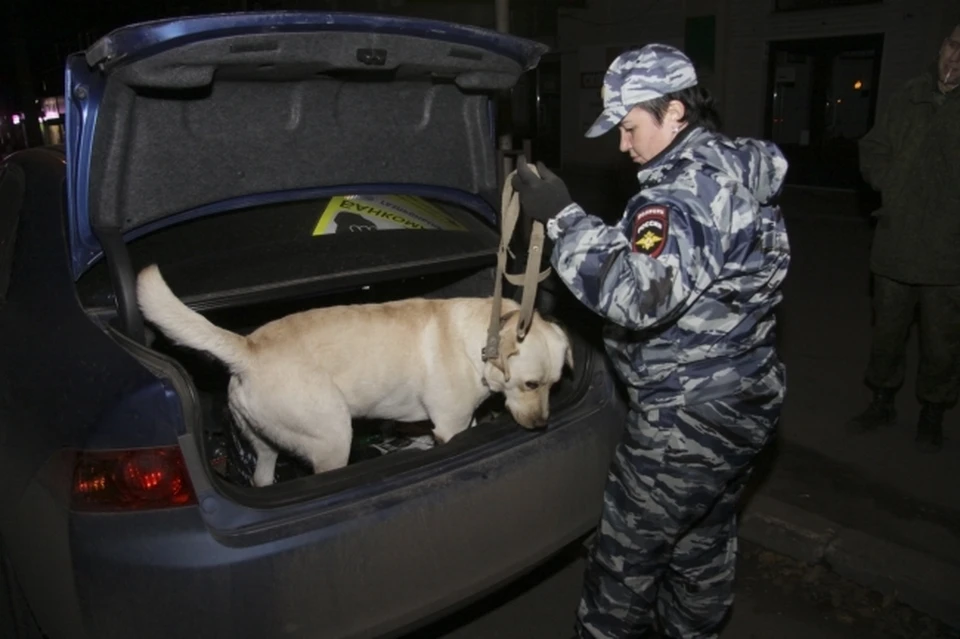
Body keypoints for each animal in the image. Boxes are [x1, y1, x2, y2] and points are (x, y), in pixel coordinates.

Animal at [135, 264, 568, 484]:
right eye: (530, 384)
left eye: (554, 385)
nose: (543, 424)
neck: (480, 341)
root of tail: (247, 349)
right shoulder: (450, 426)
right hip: (332, 436)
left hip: (264, 441)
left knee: (262, 476)